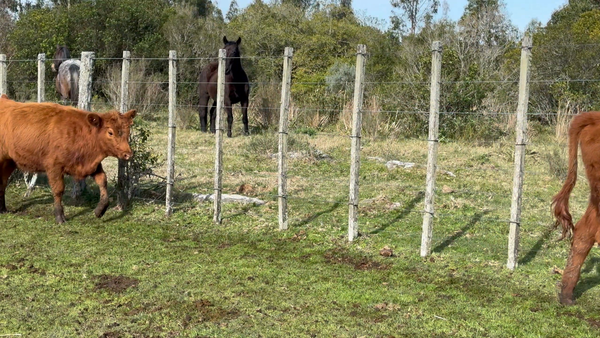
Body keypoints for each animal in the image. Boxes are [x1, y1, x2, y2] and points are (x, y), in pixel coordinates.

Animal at [0, 93, 136, 223]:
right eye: (110, 132)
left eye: (128, 131)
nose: (128, 154)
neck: (82, 133)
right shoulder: (54, 167)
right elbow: (58, 190)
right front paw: (59, 216)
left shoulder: (92, 165)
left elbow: (102, 181)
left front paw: (100, 210)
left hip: (9, 162)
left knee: (3, 182)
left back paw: (3, 209)